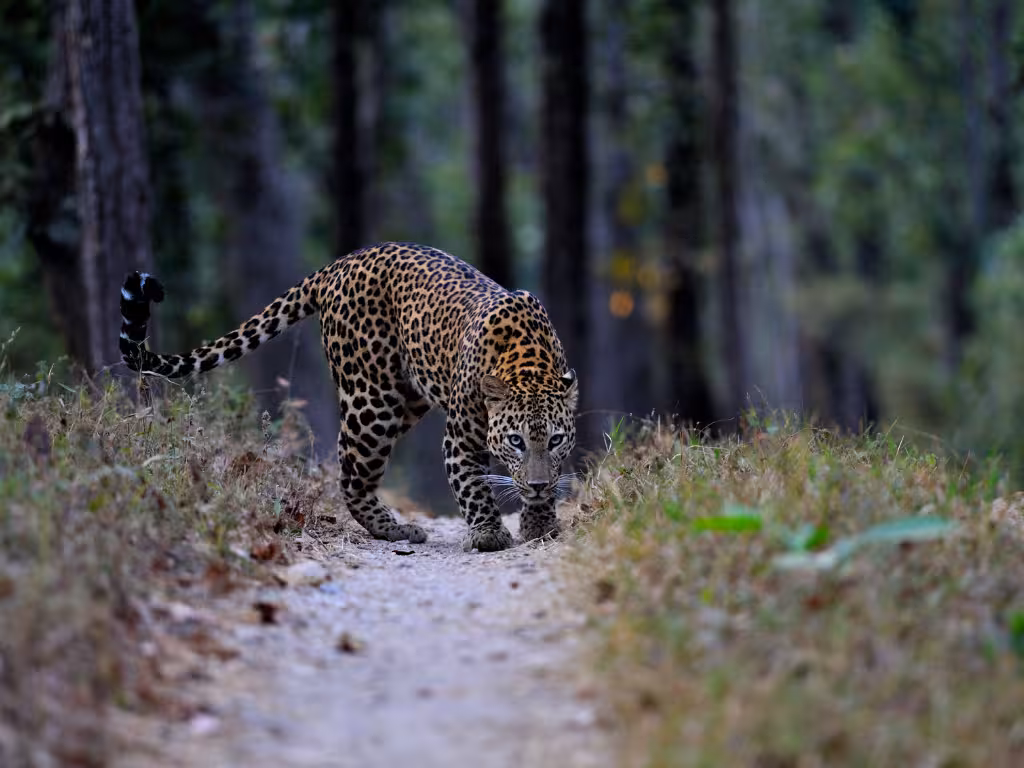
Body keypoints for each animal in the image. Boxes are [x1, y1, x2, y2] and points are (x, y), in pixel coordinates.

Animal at [119, 242, 578, 552]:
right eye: (516, 441)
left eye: (556, 439)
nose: (538, 485)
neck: (528, 363)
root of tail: (339, 263)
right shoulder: (461, 437)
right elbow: (471, 483)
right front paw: (489, 533)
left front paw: (540, 522)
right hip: (373, 401)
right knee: (350, 472)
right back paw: (393, 528)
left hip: (404, 399)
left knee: (352, 461)